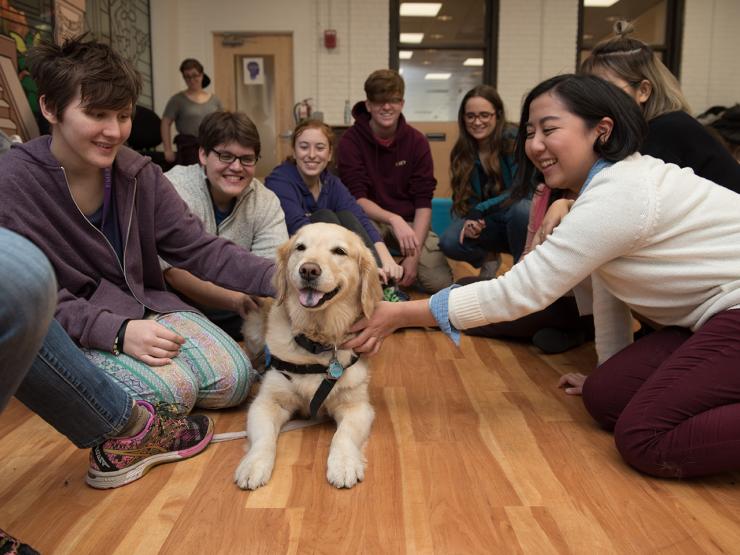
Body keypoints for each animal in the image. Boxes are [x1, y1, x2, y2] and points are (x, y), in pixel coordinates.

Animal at [236, 223, 382, 490]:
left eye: (339, 251)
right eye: (300, 247)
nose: (308, 270)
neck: (316, 342)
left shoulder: (358, 406)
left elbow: (343, 435)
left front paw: (344, 464)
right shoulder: (268, 402)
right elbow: (263, 438)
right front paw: (253, 465)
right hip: (253, 328)